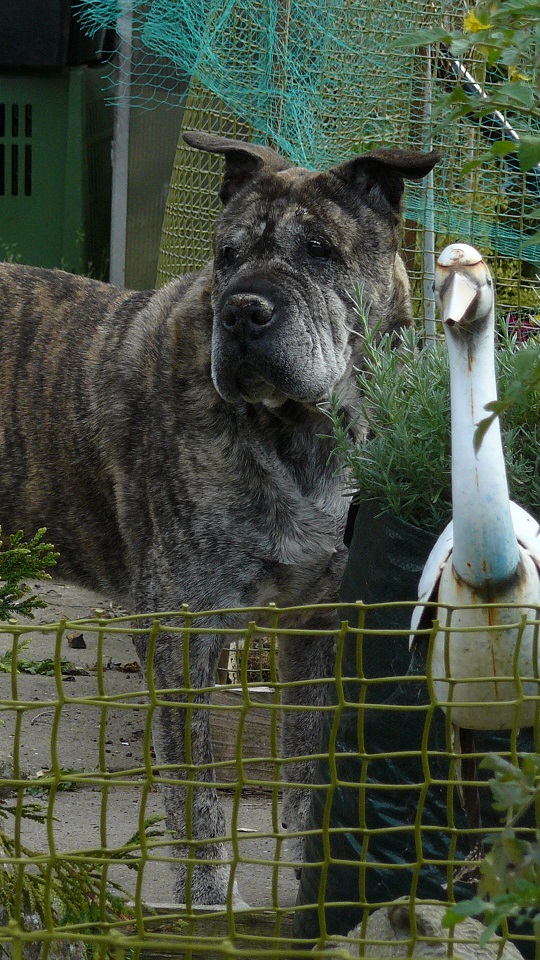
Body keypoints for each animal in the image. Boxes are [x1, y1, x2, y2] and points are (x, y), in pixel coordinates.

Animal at [0, 131, 439, 905]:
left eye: (319, 250)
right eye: (226, 255)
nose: (242, 313)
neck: (302, 436)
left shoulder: (315, 626)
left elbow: (308, 775)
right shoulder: (182, 632)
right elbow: (196, 796)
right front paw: (207, 907)